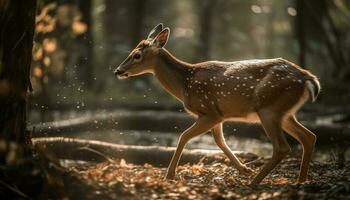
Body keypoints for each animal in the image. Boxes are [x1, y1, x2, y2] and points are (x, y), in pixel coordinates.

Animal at [114, 23, 320, 184]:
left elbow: (183, 136)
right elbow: (220, 141)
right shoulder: (219, 115)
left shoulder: (209, 111)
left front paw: (170, 175)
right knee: (309, 137)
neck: (185, 84)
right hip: (284, 113)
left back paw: (255, 182)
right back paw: (300, 181)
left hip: (269, 109)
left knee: (282, 147)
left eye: (137, 55)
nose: (118, 71)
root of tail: (308, 78)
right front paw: (244, 169)